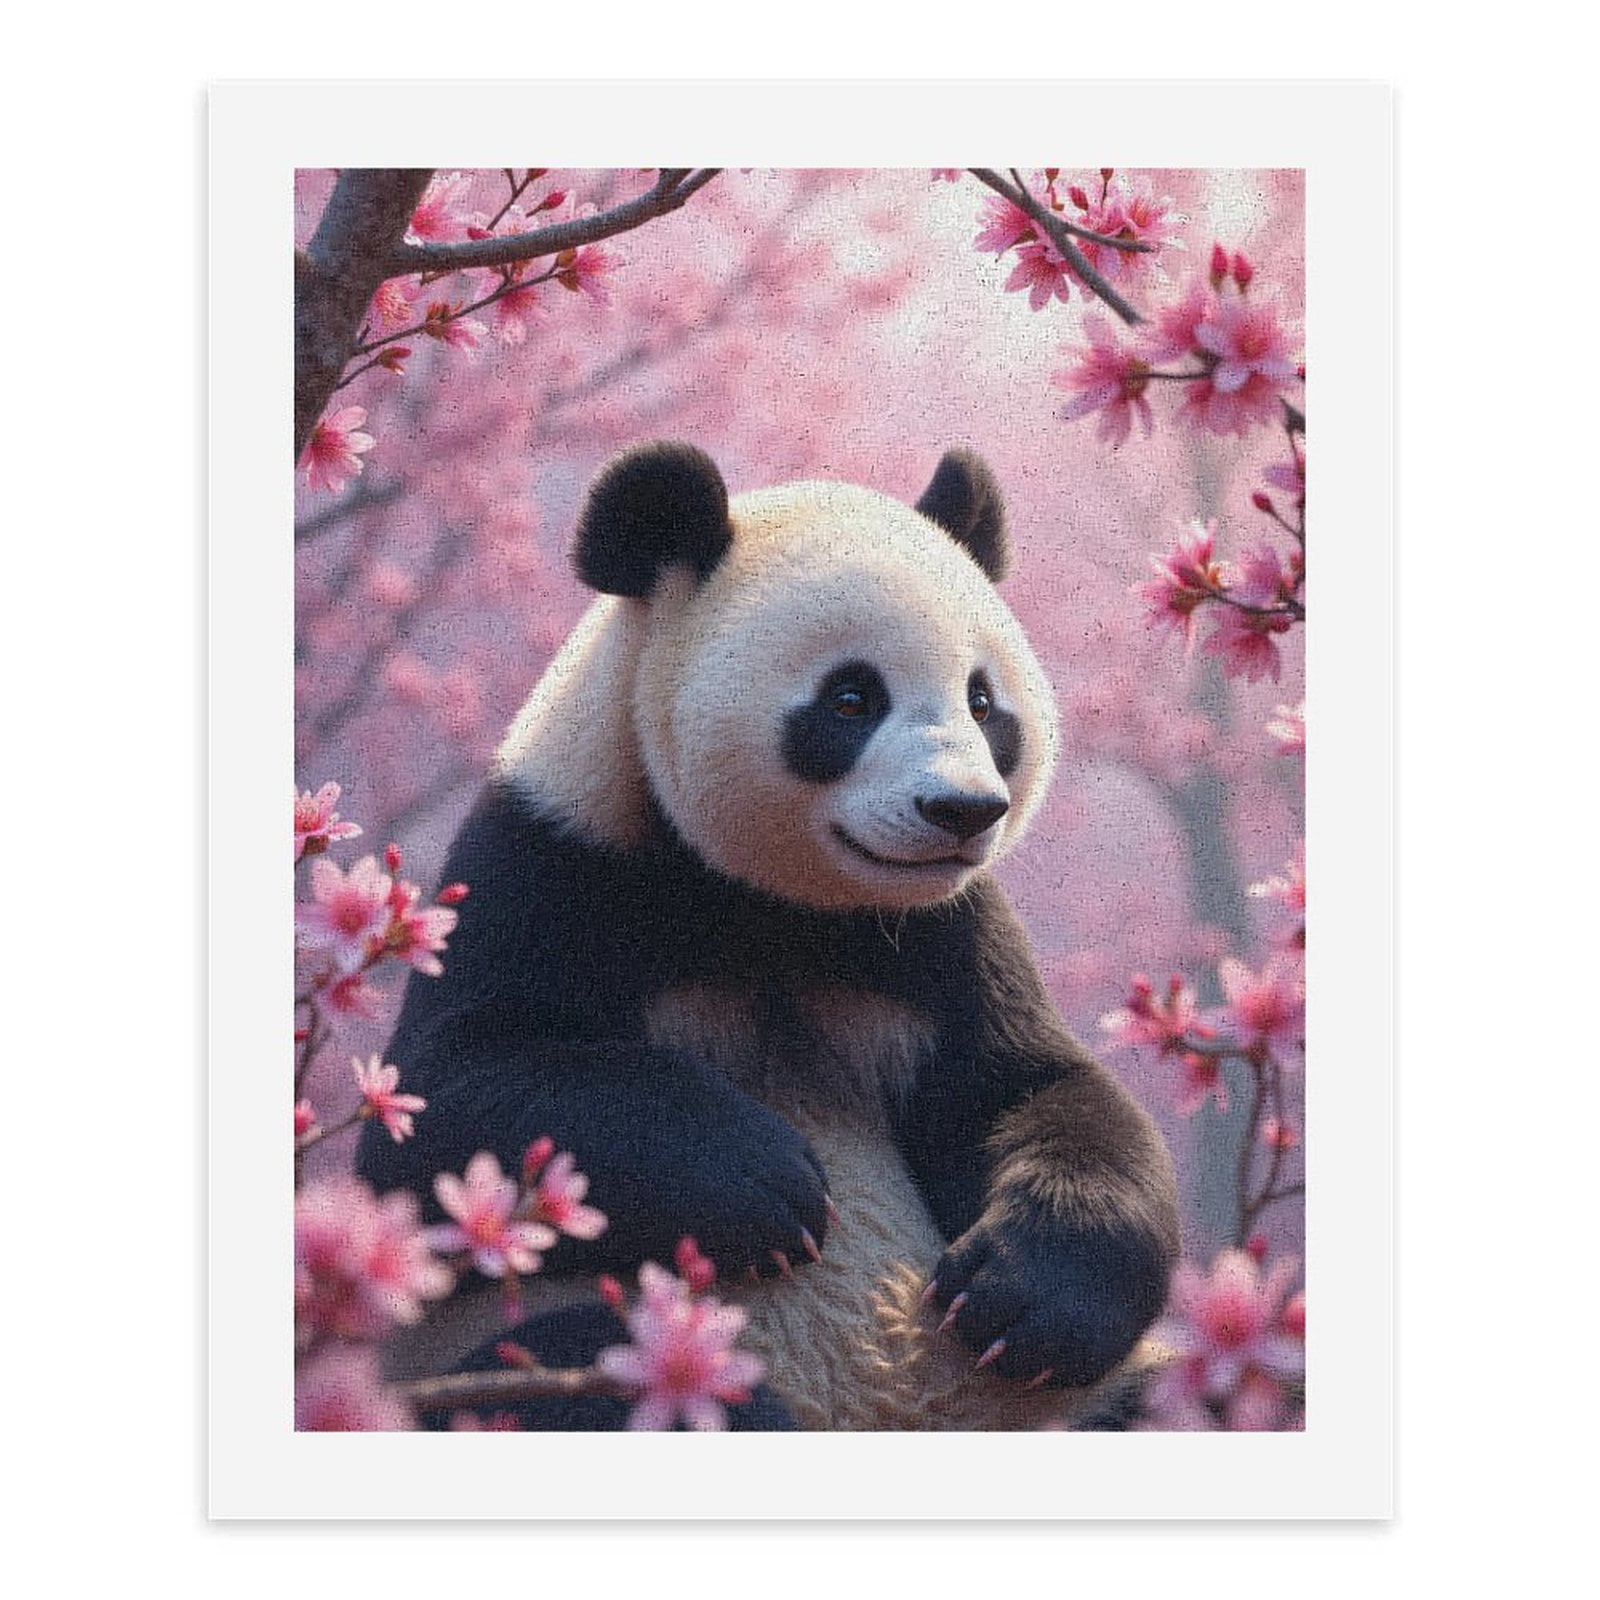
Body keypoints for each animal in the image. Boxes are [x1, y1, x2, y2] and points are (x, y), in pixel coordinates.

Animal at [357, 442, 1180, 1430]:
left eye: (985, 703)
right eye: (852, 697)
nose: (963, 810)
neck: (775, 906)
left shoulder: (944, 935)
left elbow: (1032, 1090)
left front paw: (1025, 1301)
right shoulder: (550, 866)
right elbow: (444, 1101)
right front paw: (761, 1182)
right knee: (583, 1367)